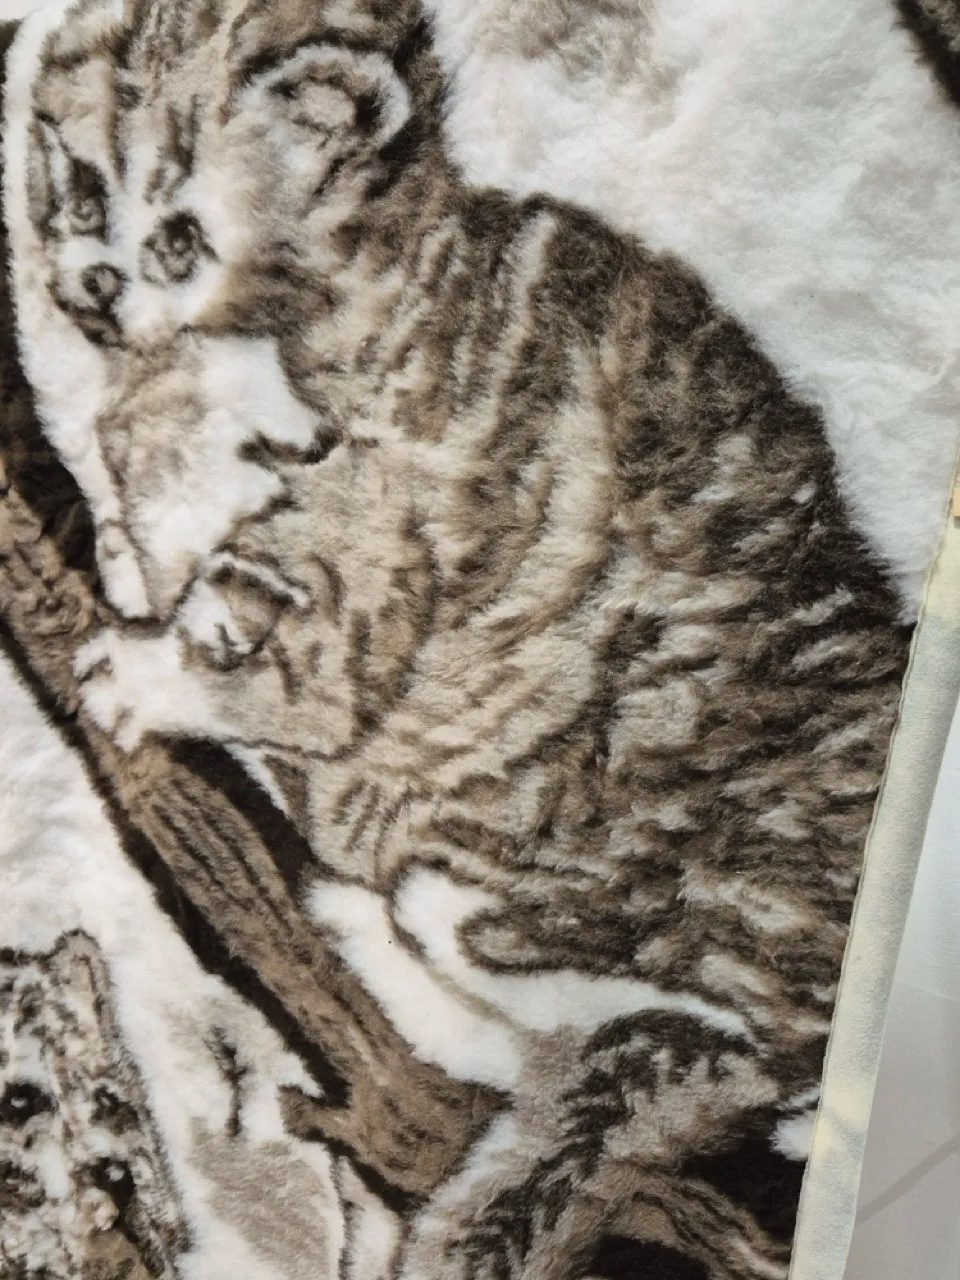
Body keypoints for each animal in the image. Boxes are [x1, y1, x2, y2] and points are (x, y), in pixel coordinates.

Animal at [4, 0, 910, 1275]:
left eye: (181, 237)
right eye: (83, 187)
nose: (89, 281)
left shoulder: (423, 479)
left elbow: (327, 664)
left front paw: (169, 676)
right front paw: (156, 569)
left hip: (614, 824)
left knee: (635, 1002)